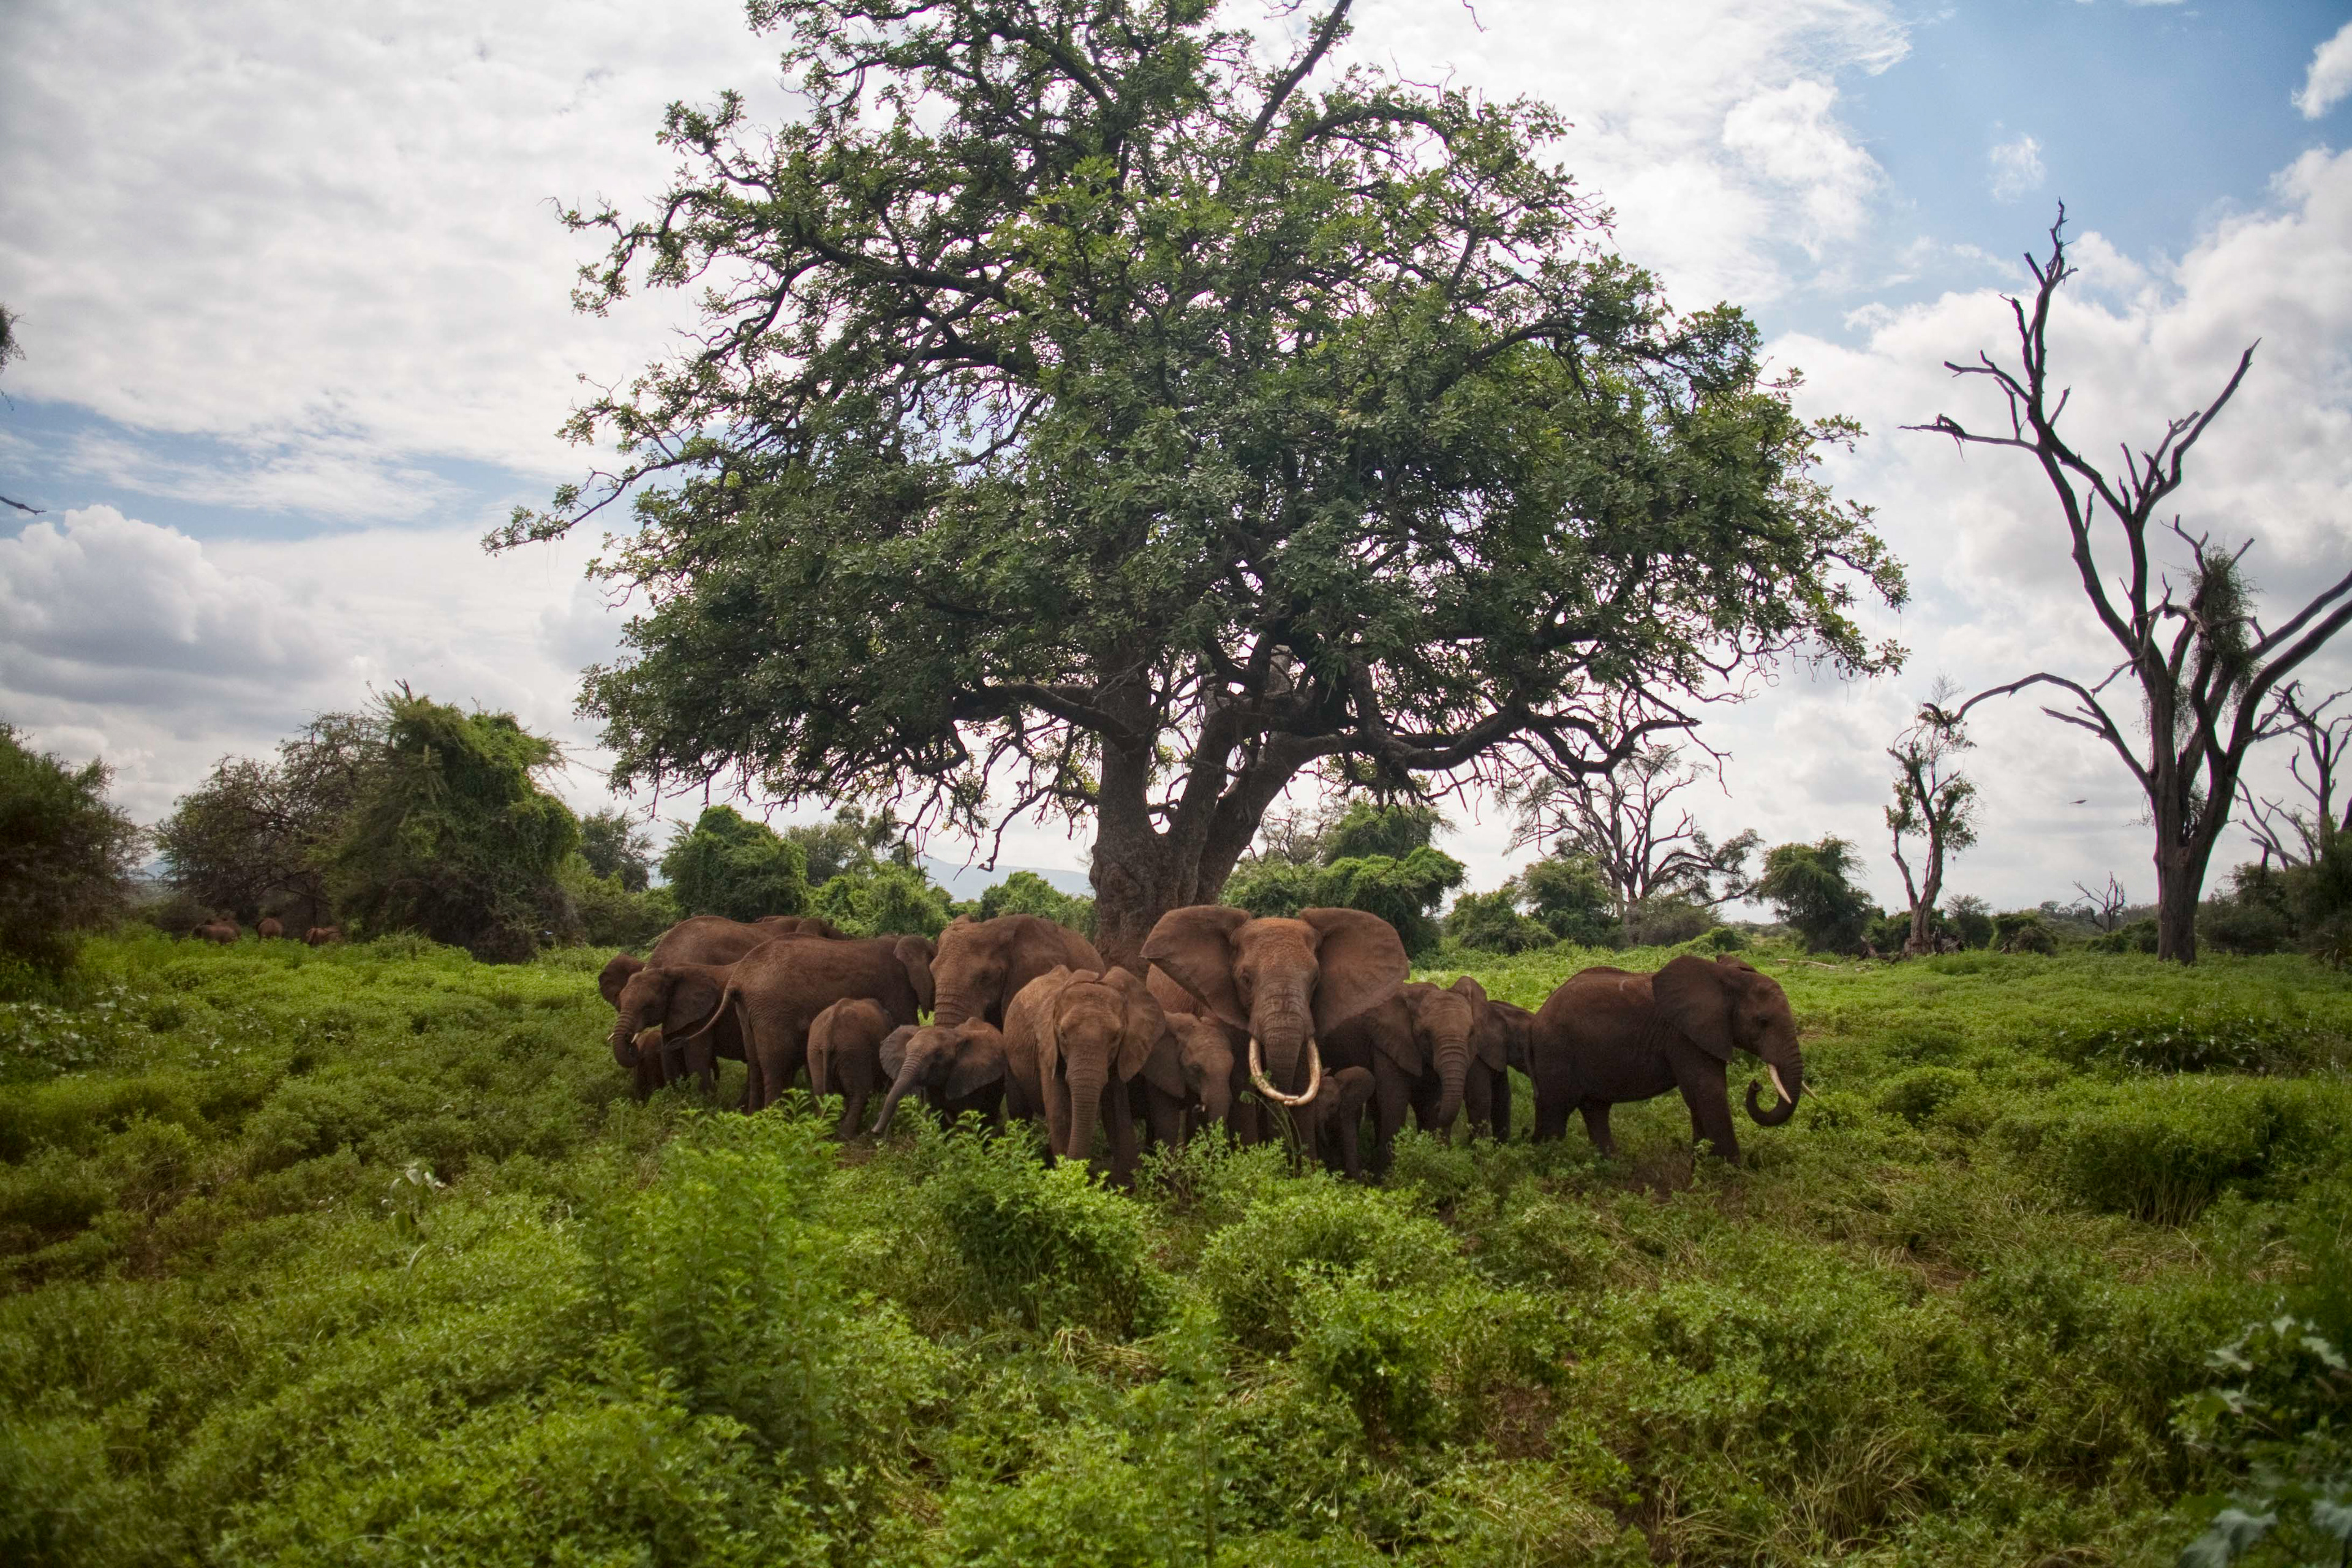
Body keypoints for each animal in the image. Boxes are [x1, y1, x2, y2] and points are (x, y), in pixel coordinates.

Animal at [675, 933, 936, 1110]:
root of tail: (738, 979)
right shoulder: (898, 989)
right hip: (772, 1011)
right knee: (775, 1065)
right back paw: (774, 1119)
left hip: (748, 1012)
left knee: (756, 1063)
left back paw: (753, 1116)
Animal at [808, 997, 893, 1138]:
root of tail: (828, 1034)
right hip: (854, 1051)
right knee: (860, 1093)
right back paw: (845, 1137)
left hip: (816, 1053)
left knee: (820, 1092)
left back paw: (827, 1133)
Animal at [872, 1019, 1009, 1134]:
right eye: (906, 1051)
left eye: (938, 1055)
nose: (875, 1131)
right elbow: (934, 1116)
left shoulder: (972, 1078)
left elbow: (967, 1119)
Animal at [1000, 966, 1163, 1181]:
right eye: (1062, 1034)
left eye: (1116, 1037)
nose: (1091, 1174)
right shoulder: (1047, 1051)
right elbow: (1060, 1113)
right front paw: (1070, 1180)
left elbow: (1116, 1112)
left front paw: (1127, 1183)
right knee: (1020, 1113)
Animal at [1530, 954, 1803, 1164]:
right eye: (1763, 1022)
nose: (1756, 1085)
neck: (1724, 978)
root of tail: (1539, 1014)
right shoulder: (1683, 1035)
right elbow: (1708, 1091)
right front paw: (1733, 1174)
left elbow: (1699, 1096)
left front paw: (1702, 1167)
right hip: (1555, 1052)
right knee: (1555, 1112)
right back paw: (1548, 1161)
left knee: (1595, 1110)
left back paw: (1613, 1165)